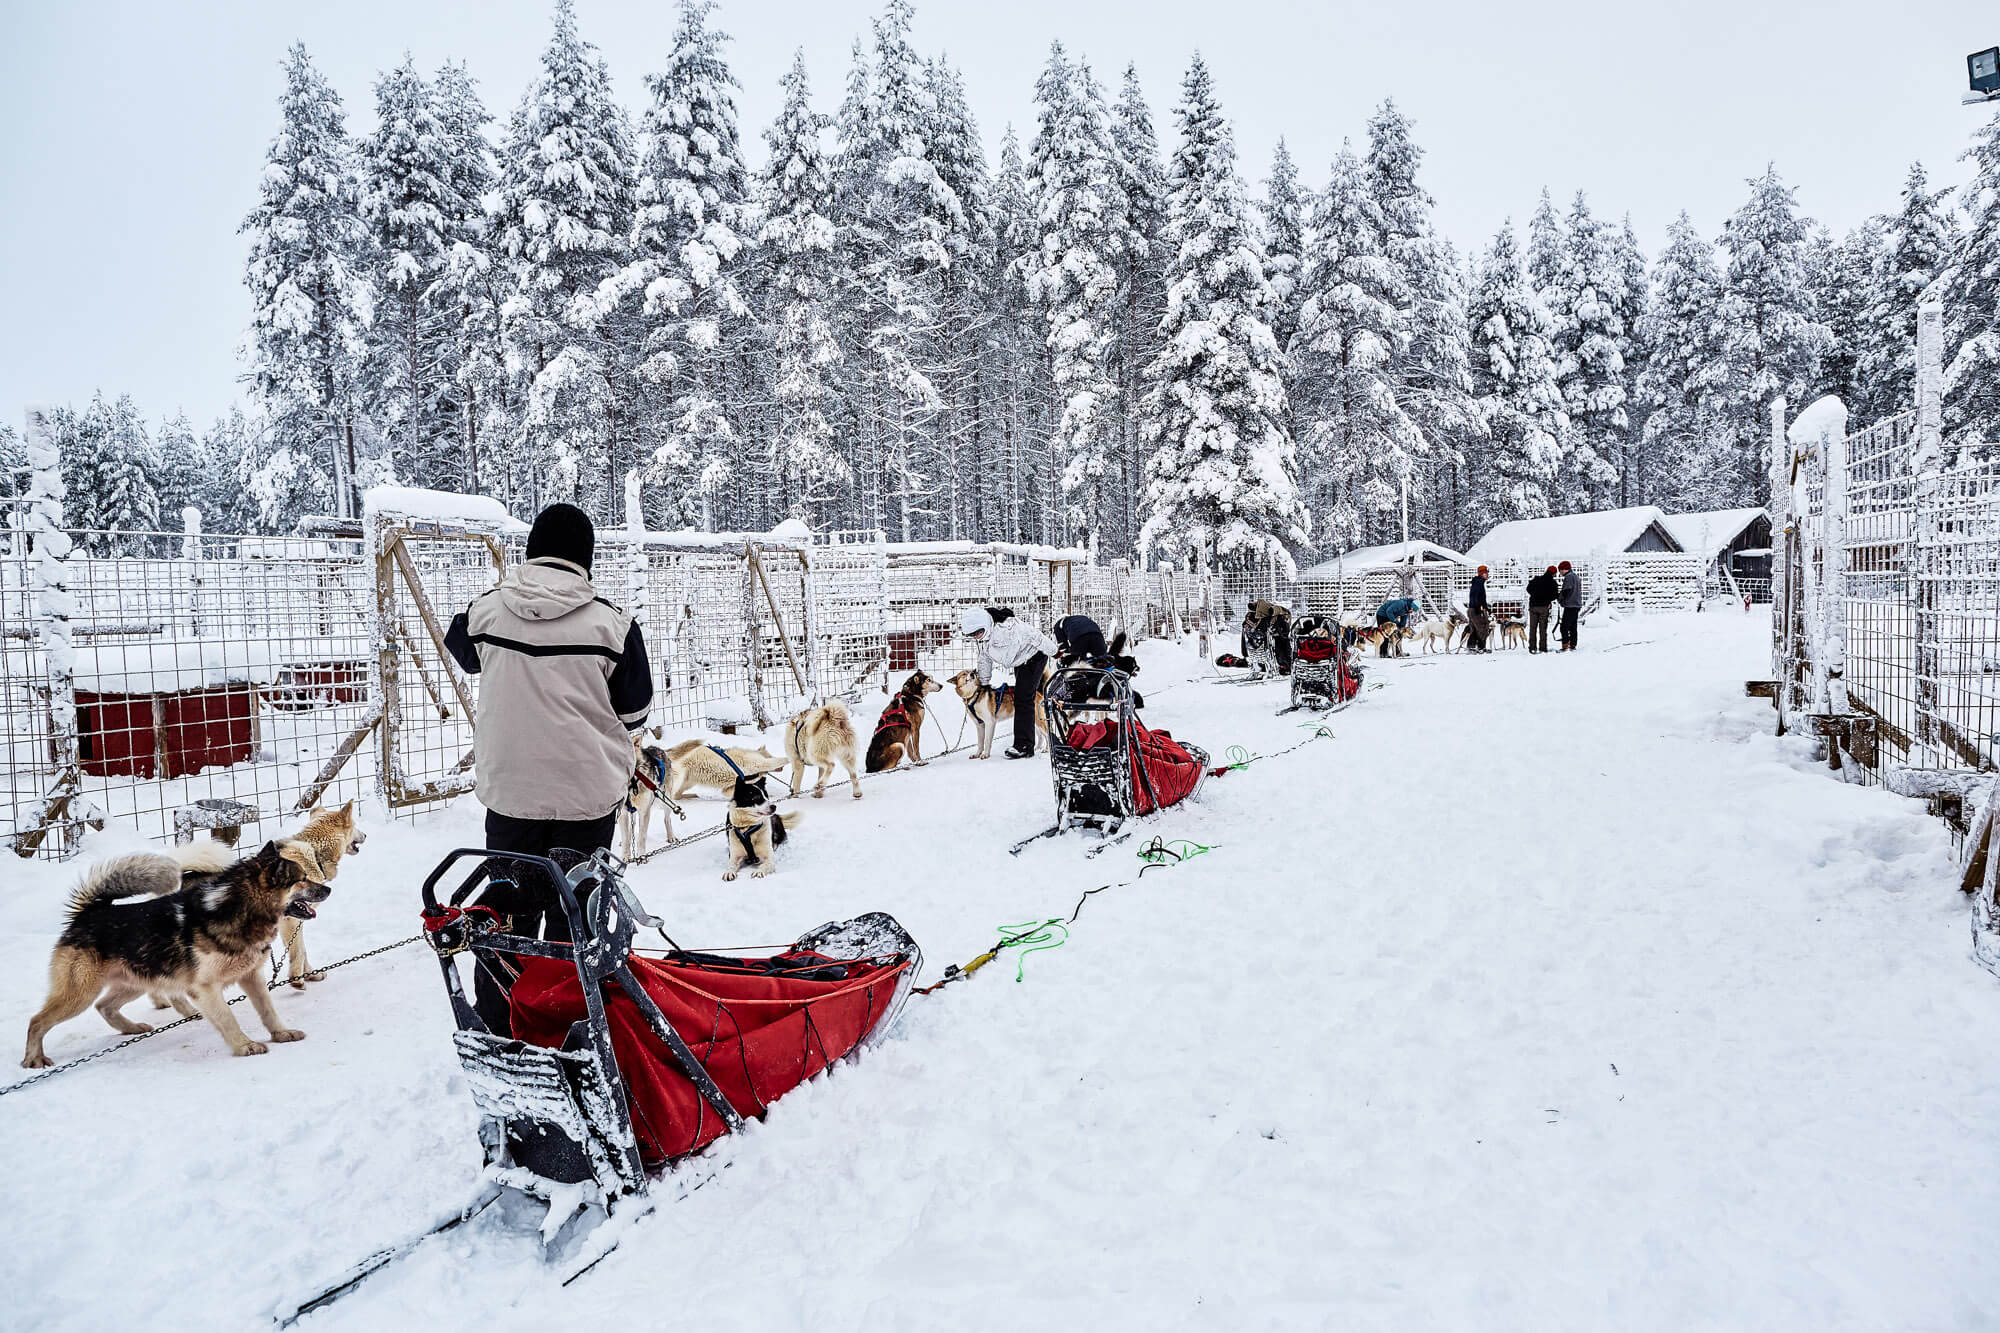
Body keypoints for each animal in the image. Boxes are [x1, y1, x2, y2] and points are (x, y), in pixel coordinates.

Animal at [24, 836, 332, 1064]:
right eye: (302, 878)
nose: (327, 890)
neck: (239, 910)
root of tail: (89, 913)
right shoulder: (205, 989)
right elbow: (228, 1019)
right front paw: (244, 1046)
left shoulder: (252, 978)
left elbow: (269, 1011)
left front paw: (281, 1034)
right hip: (79, 994)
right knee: (37, 1021)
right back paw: (33, 1060)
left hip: (135, 982)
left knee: (105, 1006)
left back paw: (132, 1028)